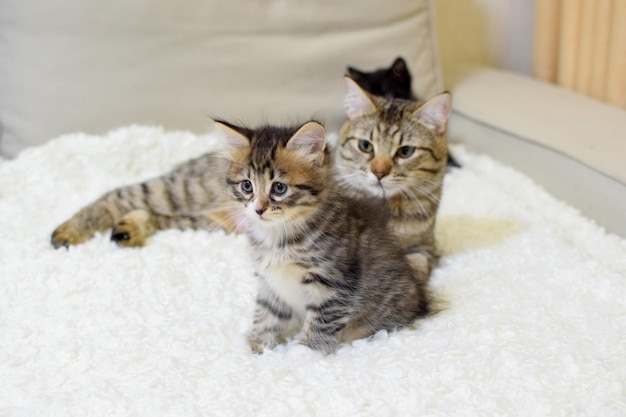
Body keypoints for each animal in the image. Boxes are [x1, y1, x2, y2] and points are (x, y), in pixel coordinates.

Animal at [214, 118, 428, 352]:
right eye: (247, 186)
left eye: (279, 188)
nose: (258, 210)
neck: (279, 237)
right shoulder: (269, 283)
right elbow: (266, 314)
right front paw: (255, 347)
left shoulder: (335, 282)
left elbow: (321, 321)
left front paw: (304, 353)